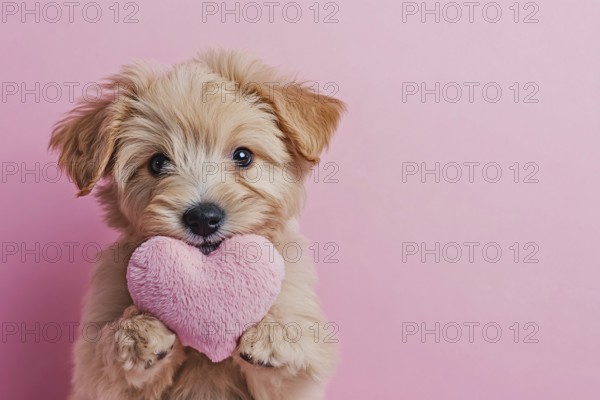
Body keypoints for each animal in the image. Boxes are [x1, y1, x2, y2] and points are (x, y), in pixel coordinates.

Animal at [49, 50, 344, 400]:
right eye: (157, 163)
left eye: (243, 156)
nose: (203, 218)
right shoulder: (97, 372)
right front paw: (138, 330)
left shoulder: (300, 367)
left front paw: (273, 333)